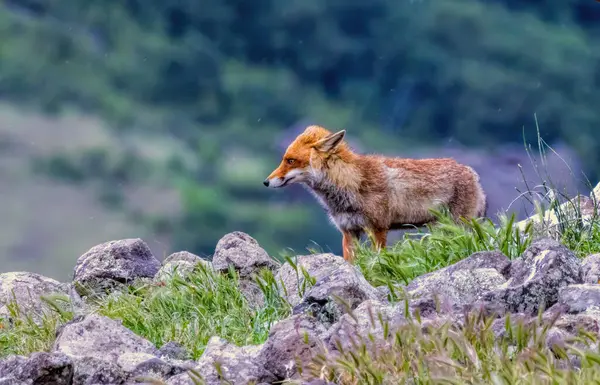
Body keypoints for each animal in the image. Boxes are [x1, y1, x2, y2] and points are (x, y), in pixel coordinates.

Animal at [262, 124, 488, 262]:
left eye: (290, 160)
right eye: (284, 159)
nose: (265, 182)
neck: (351, 184)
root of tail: (473, 173)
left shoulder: (378, 229)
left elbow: (377, 261)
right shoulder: (349, 232)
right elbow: (352, 265)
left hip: (456, 227)